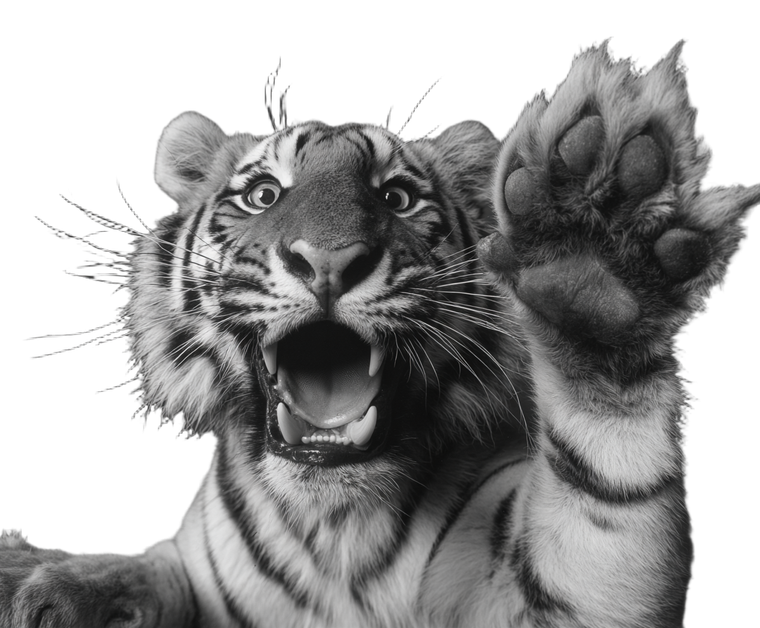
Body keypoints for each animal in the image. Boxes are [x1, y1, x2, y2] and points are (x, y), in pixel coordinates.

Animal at [2, 43, 757, 628]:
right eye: (264, 195)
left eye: (396, 197)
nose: (328, 261)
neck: (331, 526)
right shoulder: (188, 561)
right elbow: (137, 574)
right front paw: (36, 579)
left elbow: (609, 481)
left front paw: (590, 255)